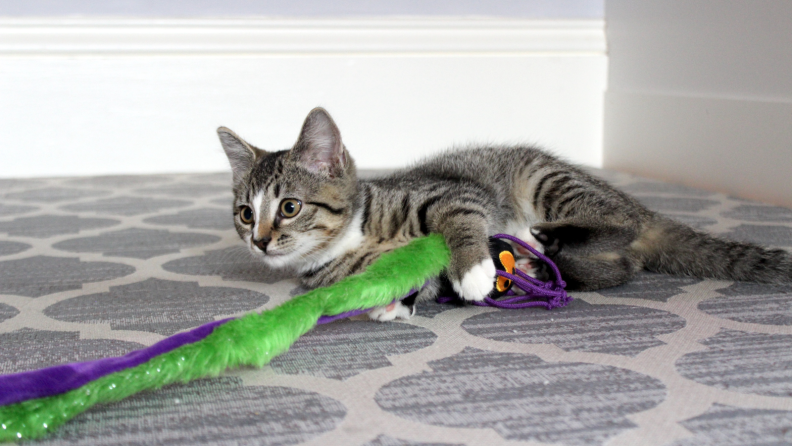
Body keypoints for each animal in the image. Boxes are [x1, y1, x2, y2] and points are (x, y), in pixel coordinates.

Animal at [218, 106, 792, 318]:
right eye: (245, 213)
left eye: (289, 207)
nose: (260, 240)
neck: (357, 235)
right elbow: (411, 282)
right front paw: (394, 303)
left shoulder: (449, 194)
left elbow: (460, 220)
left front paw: (474, 269)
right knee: (620, 266)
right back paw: (548, 254)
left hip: (543, 178)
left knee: (620, 226)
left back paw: (549, 237)